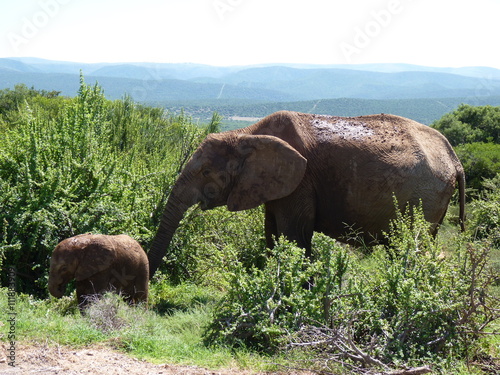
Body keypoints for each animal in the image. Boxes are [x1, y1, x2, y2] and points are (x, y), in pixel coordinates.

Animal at [147, 110, 464, 278]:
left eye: (205, 172)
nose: (143, 298)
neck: (247, 133)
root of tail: (455, 159)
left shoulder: (301, 181)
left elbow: (294, 236)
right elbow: (272, 235)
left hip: (425, 196)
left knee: (409, 246)